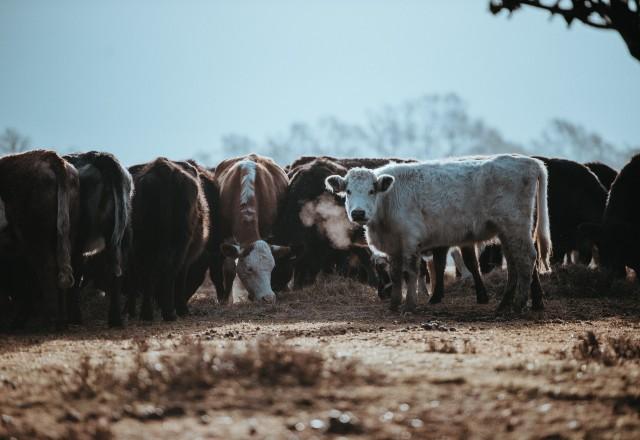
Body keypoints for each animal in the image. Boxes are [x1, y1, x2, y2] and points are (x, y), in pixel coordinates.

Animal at [0, 150, 79, 329]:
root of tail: (49, 156)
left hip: (34, 237)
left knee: (47, 268)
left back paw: (49, 321)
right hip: (66, 233)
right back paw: (60, 321)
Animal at [62, 151, 133, 327]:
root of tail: (99, 156)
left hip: (78, 237)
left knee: (75, 273)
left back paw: (74, 318)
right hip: (123, 235)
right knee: (117, 273)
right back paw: (115, 320)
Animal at [128, 158, 209, 321]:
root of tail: (164, 169)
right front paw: (182, 309)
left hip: (145, 242)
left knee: (147, 272)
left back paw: (146, 313)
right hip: (180, 242)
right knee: (169, 272)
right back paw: (169, 312)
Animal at [214, 154, 292, 303]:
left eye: (272, 268)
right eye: (249, 269)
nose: (268, 298)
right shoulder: (226, 235)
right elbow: (229, 269)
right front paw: (225, 300)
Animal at [326, 154, 551, 314]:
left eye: (372, 191)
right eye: (348, 192)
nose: (358, 213)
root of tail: (529, 161)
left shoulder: (410, 240)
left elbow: (411, 272)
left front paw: (410, 305)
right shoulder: (394, 246)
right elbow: (396, 274)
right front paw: (394, 304)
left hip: (516, 226)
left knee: (526, 259)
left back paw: (518, 305)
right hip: (506, 231)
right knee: (514, 263)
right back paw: (504, 305)